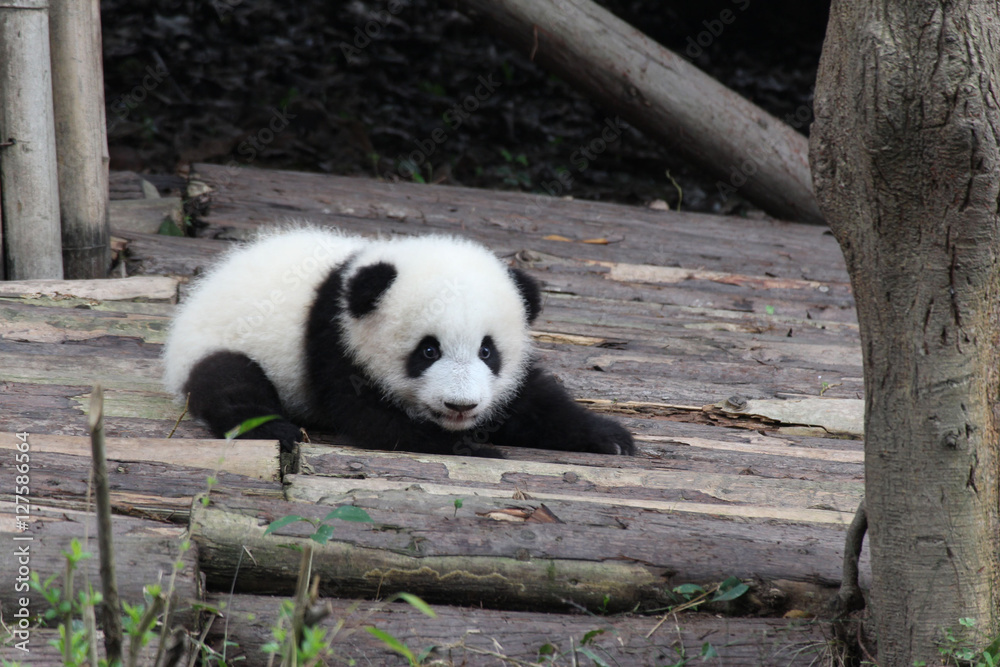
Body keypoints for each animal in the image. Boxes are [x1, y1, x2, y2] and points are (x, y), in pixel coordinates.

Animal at [162, 226, 634, 457]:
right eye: (428, 350)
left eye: (487, 351)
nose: (461, 406)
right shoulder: (336, 343)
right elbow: (377, 422)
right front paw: (474, 449)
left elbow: (531, 401)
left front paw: (610, 437)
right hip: (216, 342)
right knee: (229, 382)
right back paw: (273, 427)